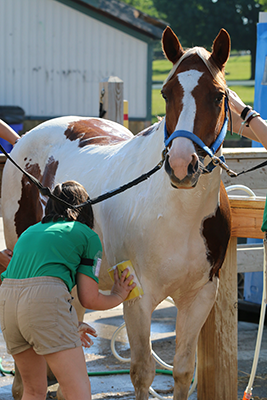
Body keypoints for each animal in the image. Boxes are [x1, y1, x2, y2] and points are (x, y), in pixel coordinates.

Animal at [1, 27, 232, 400]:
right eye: (166, 93)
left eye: (217, 96)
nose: (182, 165)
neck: (176, 213)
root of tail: (25, 138)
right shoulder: (138, 299)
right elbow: (142, 372)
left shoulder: (200, 296)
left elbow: (183, 371)